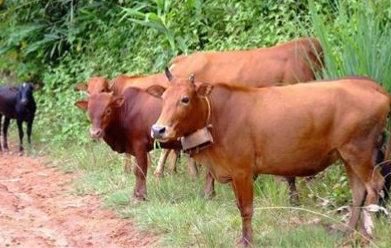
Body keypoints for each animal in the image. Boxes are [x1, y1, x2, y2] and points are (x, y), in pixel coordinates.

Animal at [148, 72, 391, 245]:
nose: (158, 129)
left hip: (359, 152)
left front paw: (246, 241)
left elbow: (246, 208)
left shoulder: (242, 171)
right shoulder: (233, 172)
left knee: (374, 185)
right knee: (359, 191)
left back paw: (367, 235)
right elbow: (240, 206)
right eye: (163, 98)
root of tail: (375, 87)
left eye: (185, 99)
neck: (217, 115)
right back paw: (349, 233)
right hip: (347, 156)